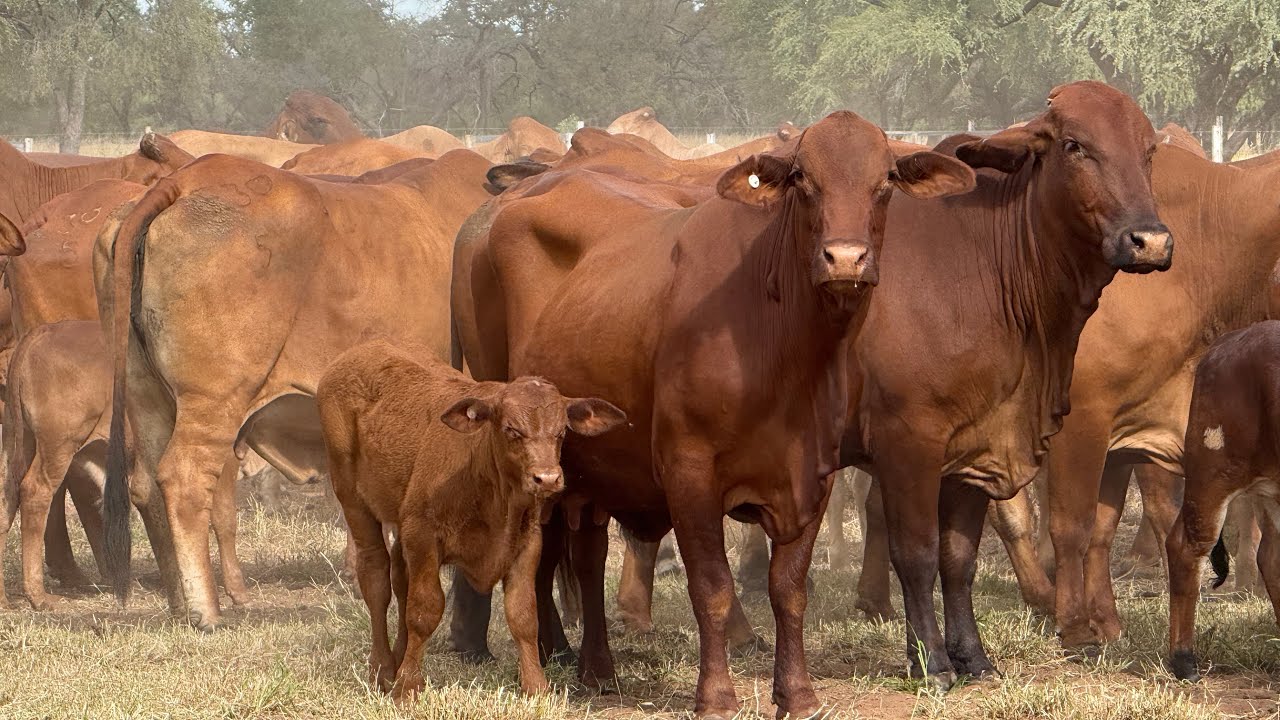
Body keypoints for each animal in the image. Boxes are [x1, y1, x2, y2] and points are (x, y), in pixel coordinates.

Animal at [98, 149, 494, 630]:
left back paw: (178, 603)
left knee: (146, 486)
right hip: (215, 398)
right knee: (184, 478)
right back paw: (205, 610)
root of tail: (184, 181)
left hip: (147, 396)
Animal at [317, 340, 626, 697]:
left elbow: (523, 615)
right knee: (376, 578)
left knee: (399, 579)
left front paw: (536, 686)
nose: (547, 478)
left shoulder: (527, 543)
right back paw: (382, 670)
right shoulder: (422, 535)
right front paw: (407, 687)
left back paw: (397, 660)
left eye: (561, 432)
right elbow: (424, 610)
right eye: (511, 430)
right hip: (352, 498)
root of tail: (361, 351)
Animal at [451, 111, 975, 717]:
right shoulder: (689, 473)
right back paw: (555, 652)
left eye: (885, 180)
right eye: (804, 180)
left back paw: (598, 669)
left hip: (590, 468)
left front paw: (797, 692)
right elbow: (713, 588)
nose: (845, 259)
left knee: (587, 556)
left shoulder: (813, 476)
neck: (781, 350)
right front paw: (717, 695)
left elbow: (788, 589)